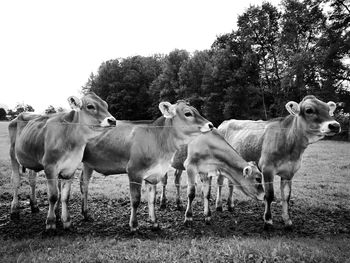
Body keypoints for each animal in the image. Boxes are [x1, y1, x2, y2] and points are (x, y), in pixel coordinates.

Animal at [81, 101, 213, 233]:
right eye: (188, 113)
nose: (210, 125)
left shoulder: (154, 174)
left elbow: (152, 199)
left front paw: (154, 223)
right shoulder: (134, 171)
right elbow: (135, 200)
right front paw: (134, 225)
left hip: (88, 164)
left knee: (84, 184)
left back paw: (86, 214)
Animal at [216, 95, 340, 229]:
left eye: (329, 110)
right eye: (309, 110)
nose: (335, 125)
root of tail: (225, 122)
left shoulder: (289, 172)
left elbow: (286, 196)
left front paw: (287, 220)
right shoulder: (267, 169)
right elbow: (269, 195)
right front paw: (268, 220)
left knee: (231, 183)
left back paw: (230, 205)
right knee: (220, 182)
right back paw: (219, 206)